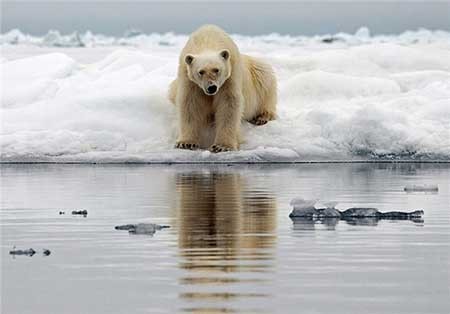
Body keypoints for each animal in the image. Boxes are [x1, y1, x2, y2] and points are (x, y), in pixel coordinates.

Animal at [168, 24, 276, 152]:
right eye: (201, 72)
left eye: (217, 70)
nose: (211, 87)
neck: (208, 40)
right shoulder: (188, 79)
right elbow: (190, 103)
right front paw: (186, 143)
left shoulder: (230, 76)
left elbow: (228, 104)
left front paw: (222, 146)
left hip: (257, 73)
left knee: (265, 79)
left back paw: (262, 117)